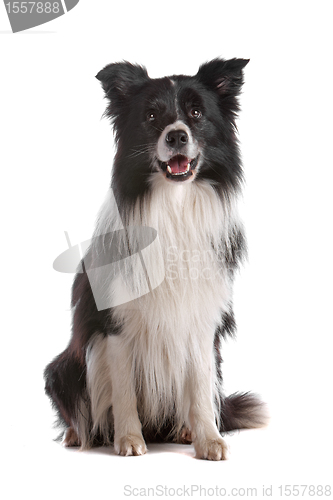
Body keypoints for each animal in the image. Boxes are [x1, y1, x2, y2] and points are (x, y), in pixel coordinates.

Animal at [44, 58, 268, 460]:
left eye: (196, 113)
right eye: (151, 115)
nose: (176, 136)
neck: (173, 205)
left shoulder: (201, 319)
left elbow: (199, 388)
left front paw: (208, 439)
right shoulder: (115, 324)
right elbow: (123, 391)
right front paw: (129, 440)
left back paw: (183, 430)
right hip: (62, 368)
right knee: (80, 409)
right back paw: (78, 435)